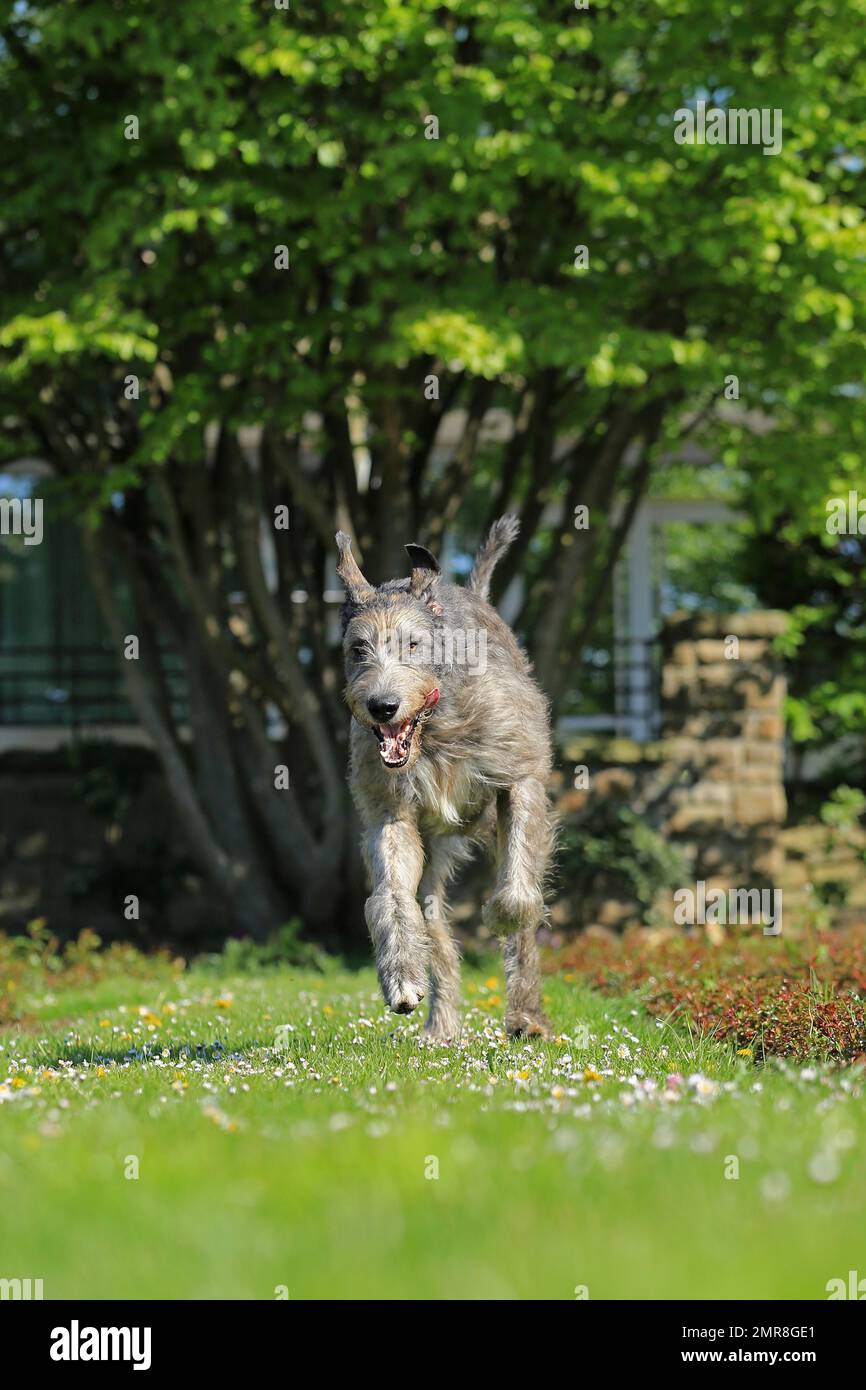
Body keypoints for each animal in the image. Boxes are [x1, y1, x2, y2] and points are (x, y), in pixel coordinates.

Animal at [335, 522, 553, 1045]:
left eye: (413, 644)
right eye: (358, 648)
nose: (382, 706)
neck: (434, 729)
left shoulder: (520, 775)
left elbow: (518, 899)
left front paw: (499, 916)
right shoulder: (391, 812)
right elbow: (391, 895)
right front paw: (401, 976)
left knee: (522, 903)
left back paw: (525, 1016)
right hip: (434, 853)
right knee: (431, 920)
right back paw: (441, 1024)